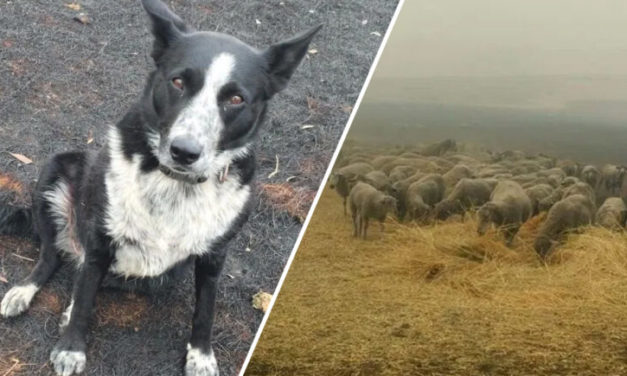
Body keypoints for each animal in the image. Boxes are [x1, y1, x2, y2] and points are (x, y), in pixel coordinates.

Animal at [0, 1, 322, 374]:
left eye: (236, 99)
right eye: (178, 81)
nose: (184, 151)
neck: (175, 184)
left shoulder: (214, 256)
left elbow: (205, 310)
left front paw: (201, 356)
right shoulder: (100, 238)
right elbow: (85, 300)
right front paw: (71, 348)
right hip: (55, 170)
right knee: (53, 257)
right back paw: (24, 292)